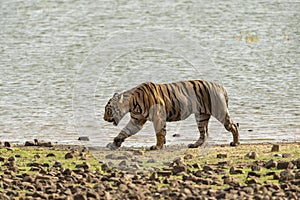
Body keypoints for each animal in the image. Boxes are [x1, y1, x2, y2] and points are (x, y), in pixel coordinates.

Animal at [103, 79, 239, 150]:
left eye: (108, 109)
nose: (104, 118)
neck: (131, 103)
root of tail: (221, 87)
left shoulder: (158, 116)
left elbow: (159, 133)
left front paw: (157, 146)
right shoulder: (136, 121)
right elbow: (124, 131)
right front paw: (114, 143)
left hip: (220, 112)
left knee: (233, 125)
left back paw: (235, 143)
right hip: (201, 116)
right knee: (203, 133)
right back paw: (195, 145)